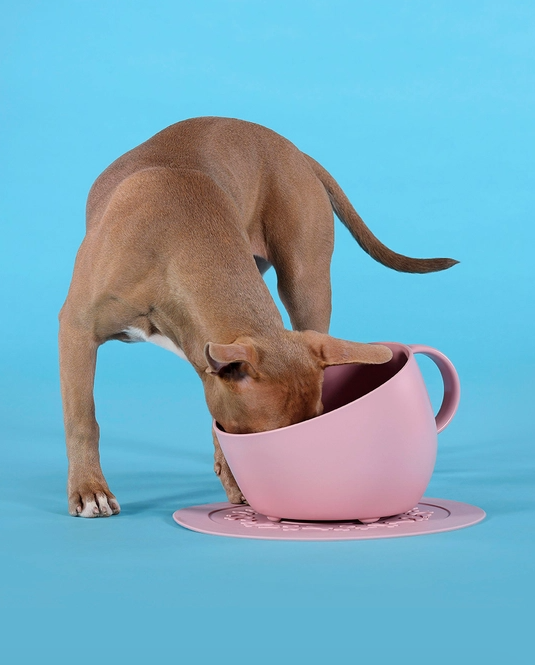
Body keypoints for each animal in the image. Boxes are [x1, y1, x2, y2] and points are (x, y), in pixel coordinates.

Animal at [60, 116, 458, 516]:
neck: (173, 243)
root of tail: (296, 152)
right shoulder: (77, 330)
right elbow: (83, 417)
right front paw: (90, 489)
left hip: (307, 285)